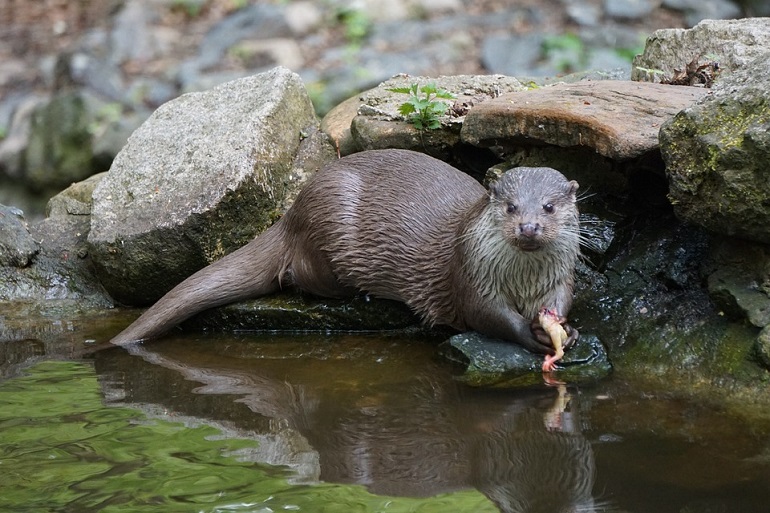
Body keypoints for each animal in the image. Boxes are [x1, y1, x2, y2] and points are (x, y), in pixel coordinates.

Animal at [111, 147, 580, 352]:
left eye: (549, 206)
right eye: (510, 205)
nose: (529, 226)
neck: (522, 281)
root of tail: (295, 207)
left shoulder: (558, 278)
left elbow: (561, 301)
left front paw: (565, 329)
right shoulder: (470, 275)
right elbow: (487, 316)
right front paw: (531, 335)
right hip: (330, 228)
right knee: (299, 274)